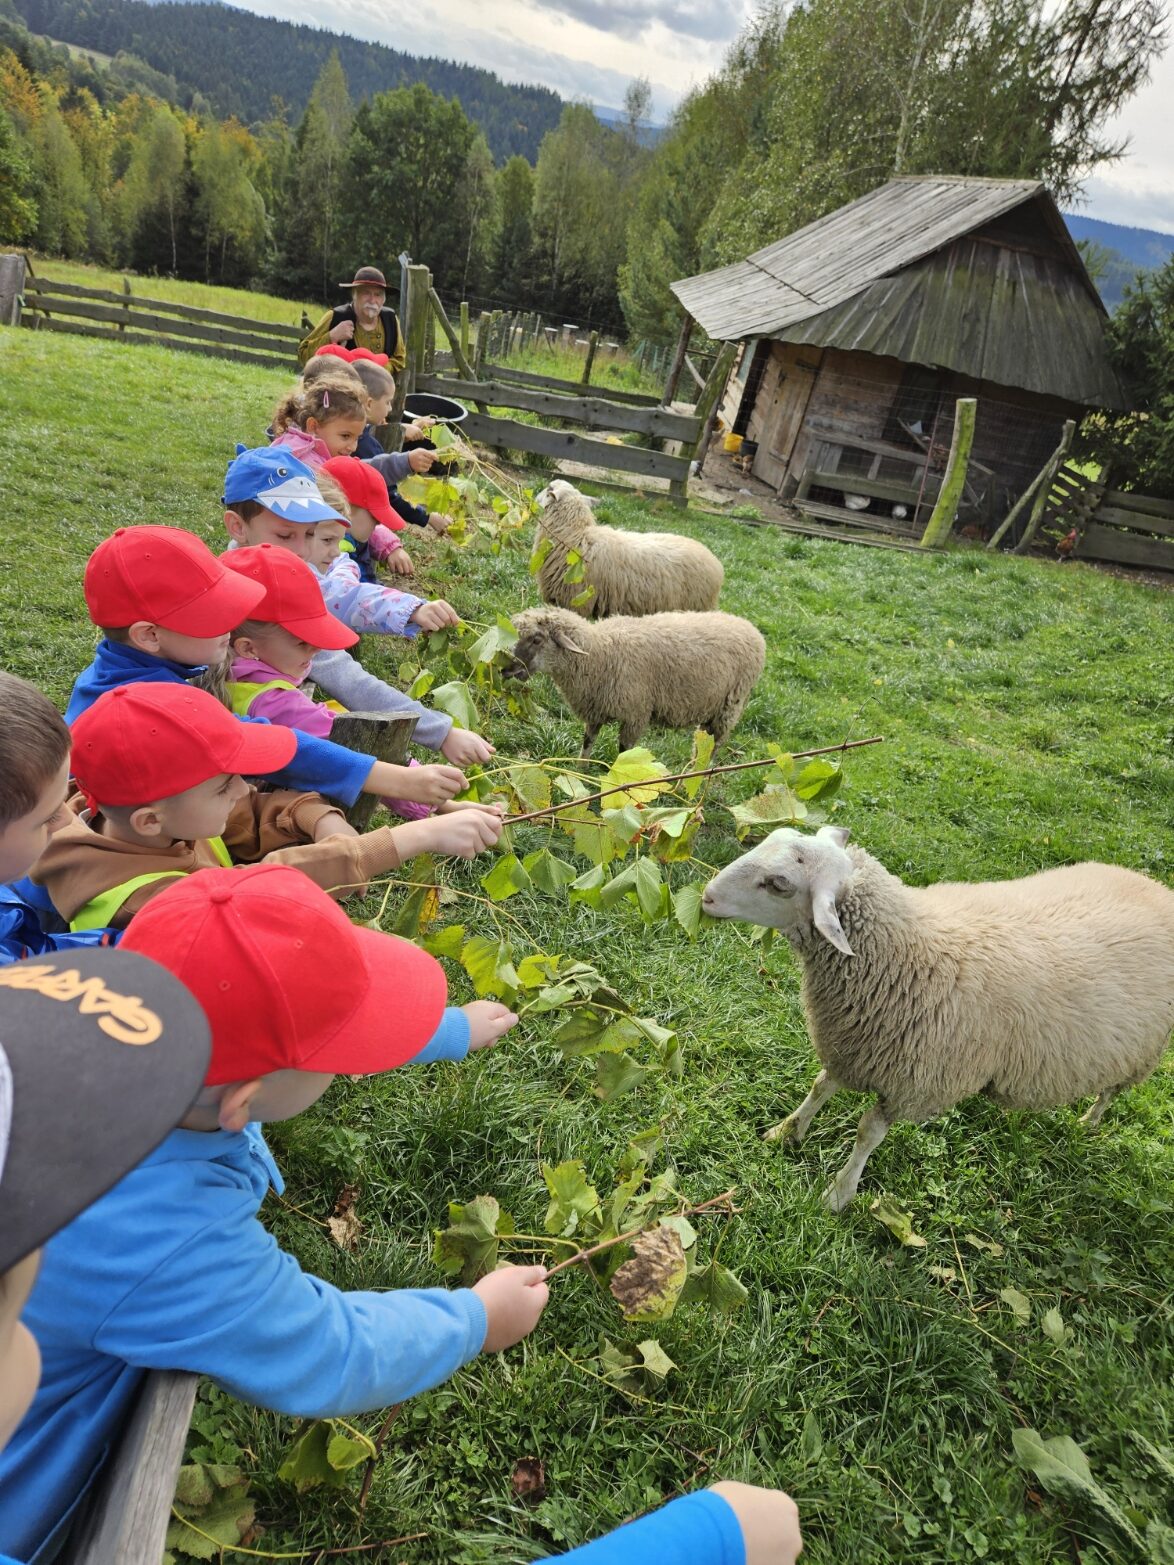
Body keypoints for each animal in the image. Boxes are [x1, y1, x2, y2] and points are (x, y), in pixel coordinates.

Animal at [506, 605, 765, 756]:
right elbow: (587, 745)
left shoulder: (635, 715)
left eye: (537, 639)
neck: (600, 653)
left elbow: (623, 755)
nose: (505, 671)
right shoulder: (596, 709)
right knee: (701, 747)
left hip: (730, 707)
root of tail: (750, 628)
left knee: (713, 750)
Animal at [701, 825, 1174, 1211]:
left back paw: (1088, 1122)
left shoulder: (915, 1080)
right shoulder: (854, 1041)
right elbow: (821, 1086)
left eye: (778, 884)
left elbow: (867, 1133)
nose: (706, 896)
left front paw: (838, 1194)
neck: (904, 951)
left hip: (1142, 1049)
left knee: (1110, 1091)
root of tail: (1158, 888)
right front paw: (787, 1131)